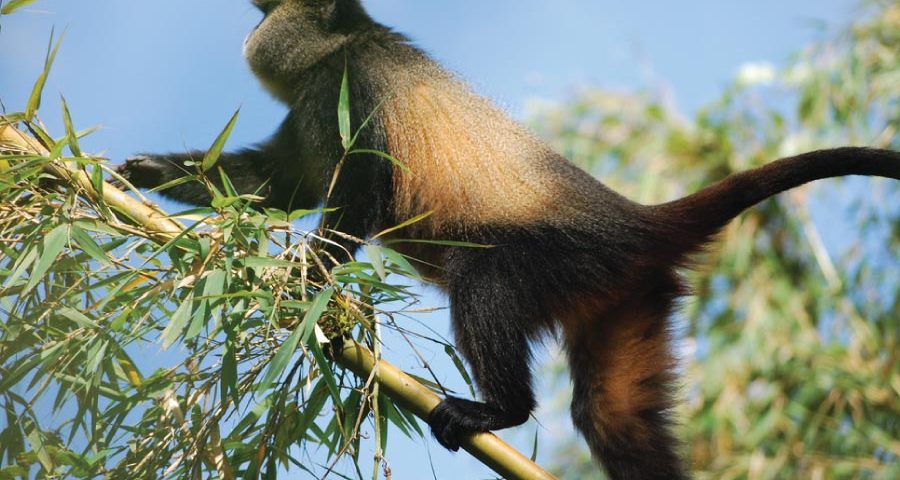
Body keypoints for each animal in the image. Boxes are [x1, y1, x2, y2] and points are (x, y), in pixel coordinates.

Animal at [114, 1, 900, 478]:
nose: (250, 24)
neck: (343, 40)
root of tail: (635, 220)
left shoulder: (345, 88)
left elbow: (354, 193)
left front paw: (309, 293)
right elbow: (278, 183)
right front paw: (135, 176)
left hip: (564, 258)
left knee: (481, 280)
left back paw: (499, 411)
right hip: (627, 301)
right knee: (611, 418)